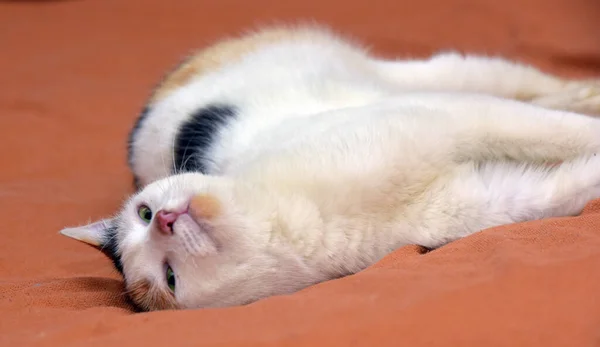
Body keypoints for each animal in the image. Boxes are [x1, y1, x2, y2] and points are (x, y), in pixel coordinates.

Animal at [58, 24, 600, 312]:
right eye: (168, 277)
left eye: (144, 214)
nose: (168, 220)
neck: (302, 212)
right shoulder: (489, 201)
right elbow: (566, 183)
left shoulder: (459, 119)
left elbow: (568, 133)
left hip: (436, 78)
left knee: (532, 90)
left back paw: (587, 91)